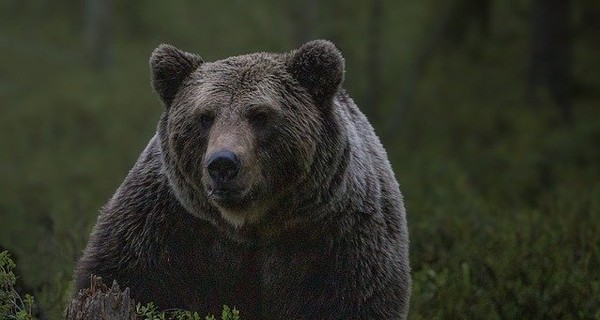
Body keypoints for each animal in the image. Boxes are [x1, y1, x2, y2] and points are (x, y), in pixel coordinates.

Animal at [74, 40, 412, 320]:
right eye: (205, 116)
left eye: (260, 115)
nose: (222, 164)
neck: (250, 225)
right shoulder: (164, 227)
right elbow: (126, 277)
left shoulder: (338, 238)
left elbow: (353, 300)